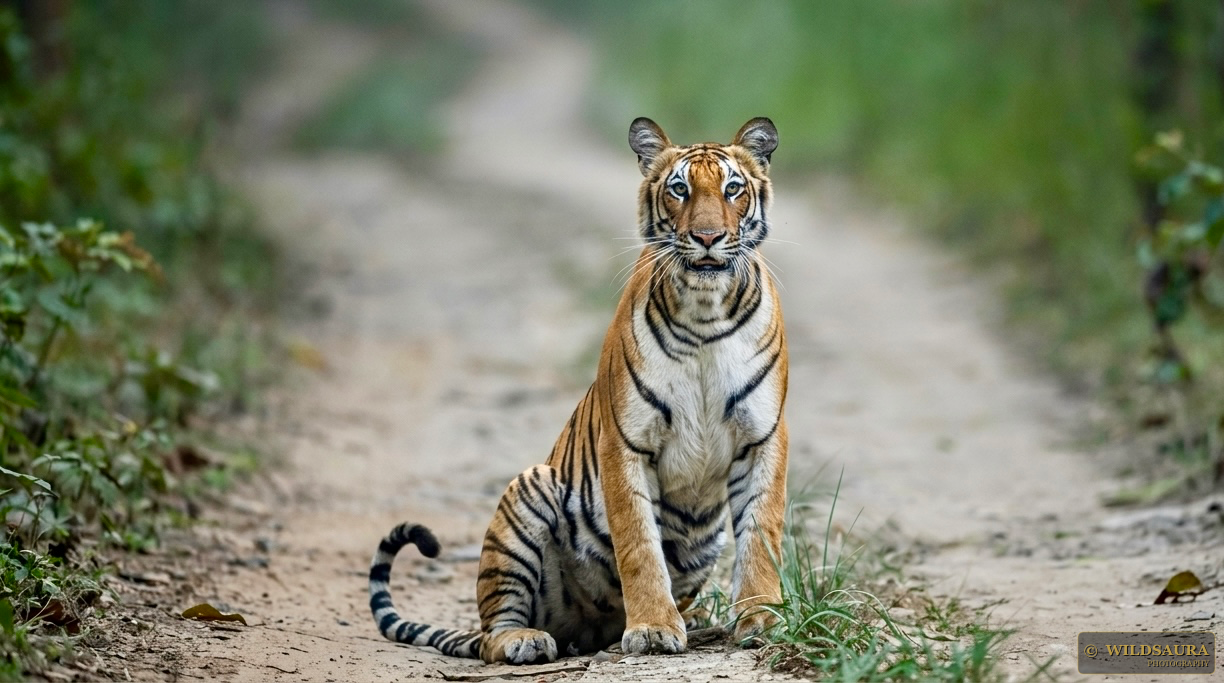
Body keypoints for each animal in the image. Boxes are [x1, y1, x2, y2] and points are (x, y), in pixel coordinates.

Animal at [369, 117, 788, 664]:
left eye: (732, 189)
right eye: (679, 190)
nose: (707, 236)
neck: (705, 310)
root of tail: (588, 627)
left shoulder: (763, 437)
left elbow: (762, 535)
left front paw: (762, 619)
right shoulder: (626, 441)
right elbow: (639, 545)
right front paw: (654, 628)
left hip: (703, 542)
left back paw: (693, 619)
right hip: (527, 495)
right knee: (492, 633)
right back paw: (526, 640)